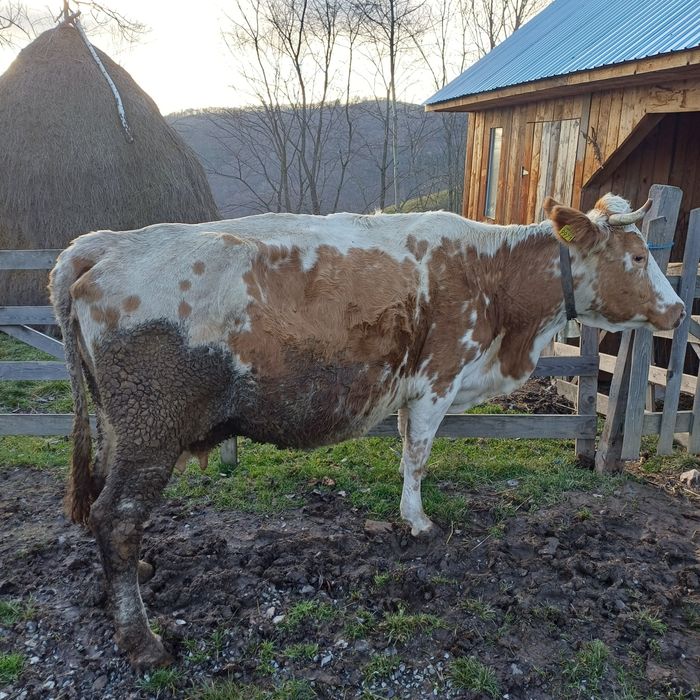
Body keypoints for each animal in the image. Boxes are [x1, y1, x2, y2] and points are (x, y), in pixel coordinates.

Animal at [49, 194, 684, 667]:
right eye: (635, 257)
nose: (678, 311)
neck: (494, 279)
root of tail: (101, 244)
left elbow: (407, 450)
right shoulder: (437, 377)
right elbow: (418, 454)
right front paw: (419, 523)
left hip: (118, 426)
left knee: (105, 505)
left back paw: (137, 576)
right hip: (151, 429)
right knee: (116, 515)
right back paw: (142, 640)